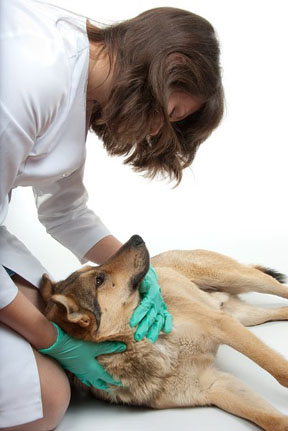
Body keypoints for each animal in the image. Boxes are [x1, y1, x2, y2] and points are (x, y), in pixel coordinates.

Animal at [40, 236, 288, 431]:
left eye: (94, 272)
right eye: (99, 280)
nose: (136, 237)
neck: (143, 344)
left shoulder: (222, 325)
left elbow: (280, 371)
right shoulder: (216, 386)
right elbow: (273, 420)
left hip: (240, 280)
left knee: (279, 288)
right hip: (243, 316)